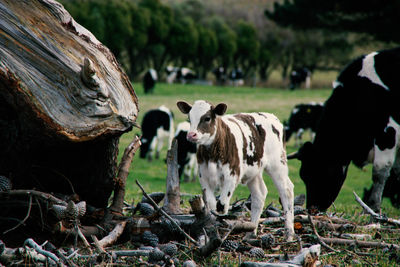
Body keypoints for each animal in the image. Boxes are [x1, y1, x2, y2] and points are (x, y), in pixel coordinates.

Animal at [177, 101, 296, 241]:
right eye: (189, 119)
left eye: (207, 118)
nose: (191, 135)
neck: (213, 153)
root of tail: (272, 117)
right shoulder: (204, 178)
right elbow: (211, 205)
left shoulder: (232, 175)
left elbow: (221, 206)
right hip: (253, 171)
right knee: (259, 194)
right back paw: (251, 232)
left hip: (277, 164)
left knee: (286, 191)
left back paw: (289, 233)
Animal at [288, 47, 400, 213]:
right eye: (303, 175)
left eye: (322, 171)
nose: (312, 209)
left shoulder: (387, 135)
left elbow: (379, 173)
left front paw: (373, 209)